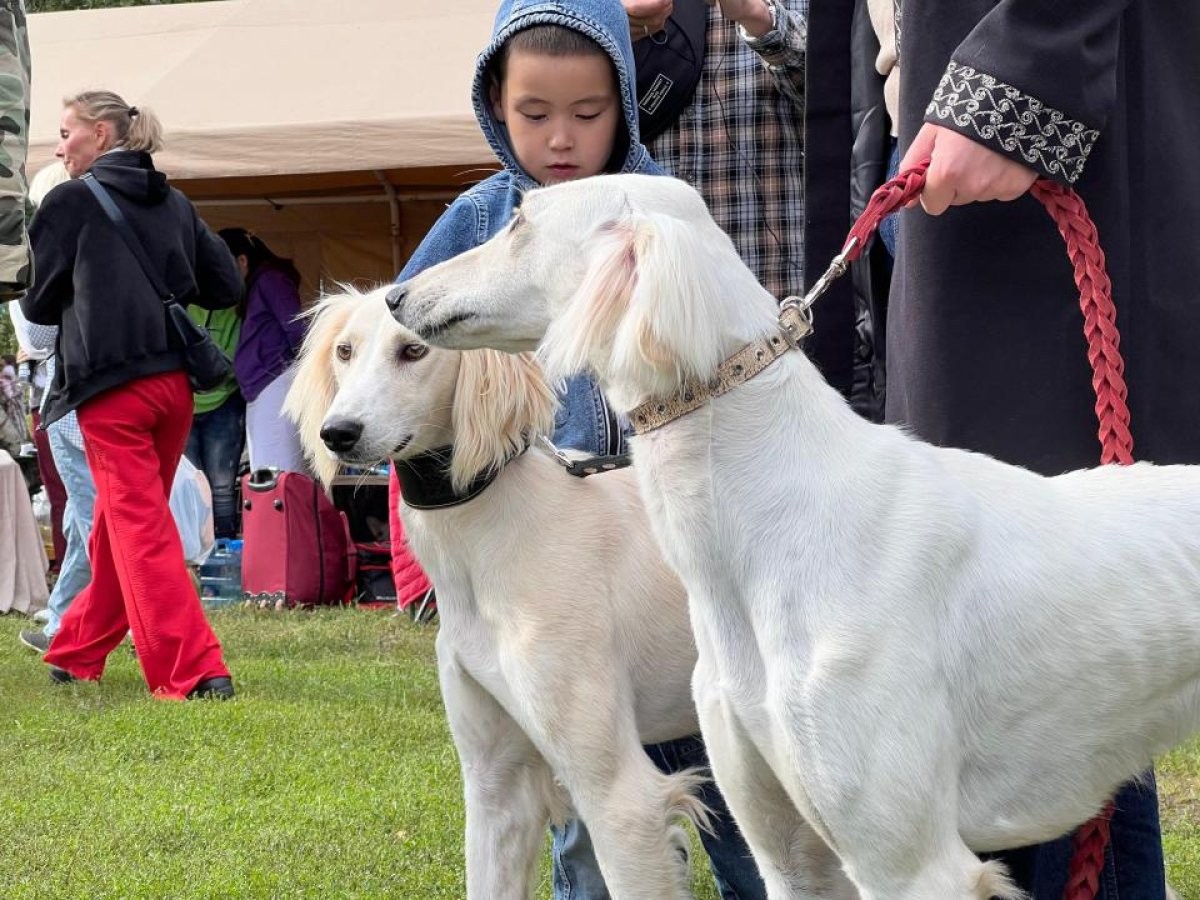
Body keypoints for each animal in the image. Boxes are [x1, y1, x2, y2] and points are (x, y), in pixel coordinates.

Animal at [284, 286, 854, 900]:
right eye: (344, 351)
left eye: (414, 350)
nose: (338, 433)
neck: (494, 531)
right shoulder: (495, 785)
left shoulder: (621, 798)